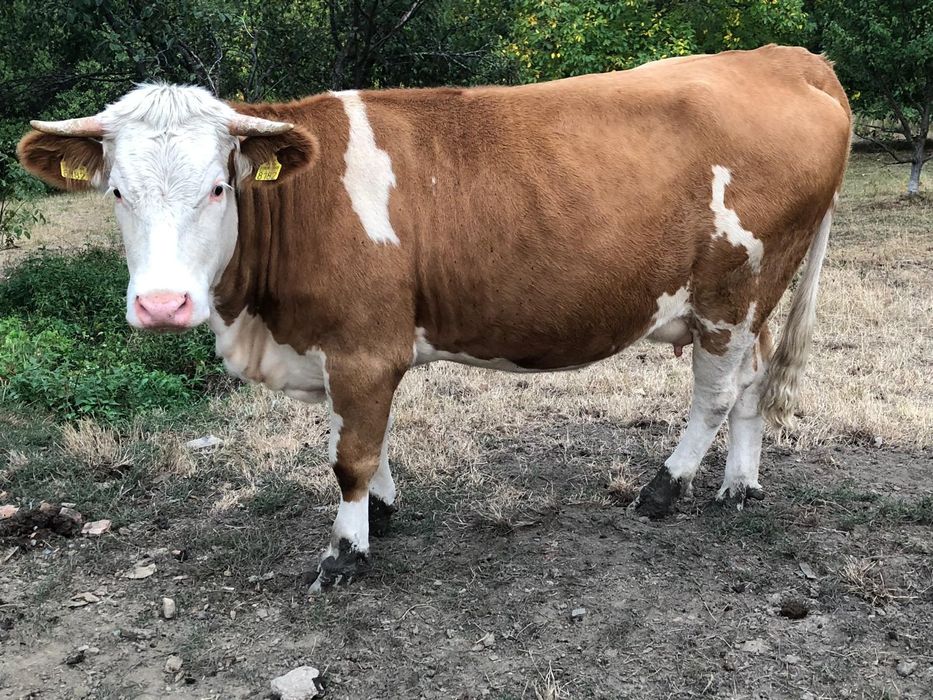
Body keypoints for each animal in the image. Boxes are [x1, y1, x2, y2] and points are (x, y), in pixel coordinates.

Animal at [18, 45, 851, 590]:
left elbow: (349, 454)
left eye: (219, 187)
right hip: (756, 298)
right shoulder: (342, 353)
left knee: (715, 393)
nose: (162, 304)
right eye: (117, 191)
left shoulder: (363, 348)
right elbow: (359, 440)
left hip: (731, 291)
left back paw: (663, 489)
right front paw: (381, 512)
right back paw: (737, 485)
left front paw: (345, 552)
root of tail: (784, 57)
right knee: (752, 382)